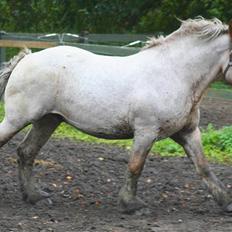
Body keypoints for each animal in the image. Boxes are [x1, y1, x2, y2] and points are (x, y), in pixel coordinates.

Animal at [0, 17, 232, 214]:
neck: (175, 74)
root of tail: (26, 59)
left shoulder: (188, 132)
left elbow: (203, 167)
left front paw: (226, 202)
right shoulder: (146, 132)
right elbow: (135, 166)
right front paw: (131, 205)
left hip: (48, 120)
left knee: (26, 152)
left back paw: (35, 197)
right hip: (17, 119)